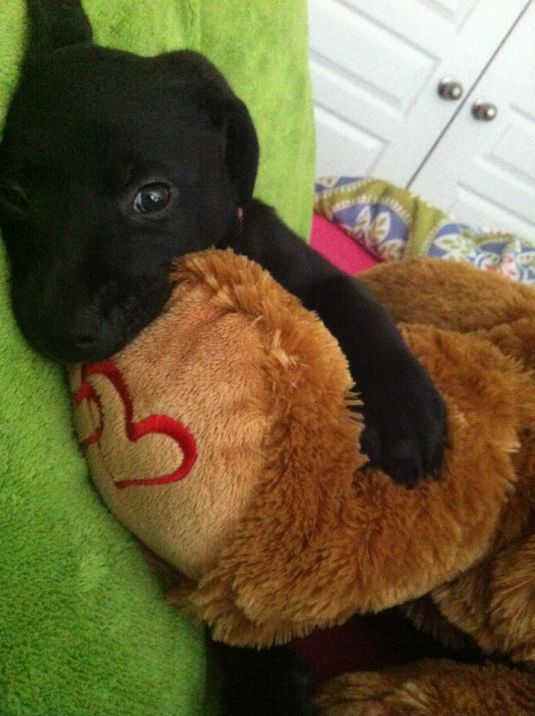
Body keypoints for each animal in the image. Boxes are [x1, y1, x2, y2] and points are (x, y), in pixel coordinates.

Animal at [0, 0, 448, 486]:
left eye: (153, 196)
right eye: (14, 196)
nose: (60, 330)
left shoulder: (312, 269)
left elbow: (357, 301)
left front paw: (405, 411)